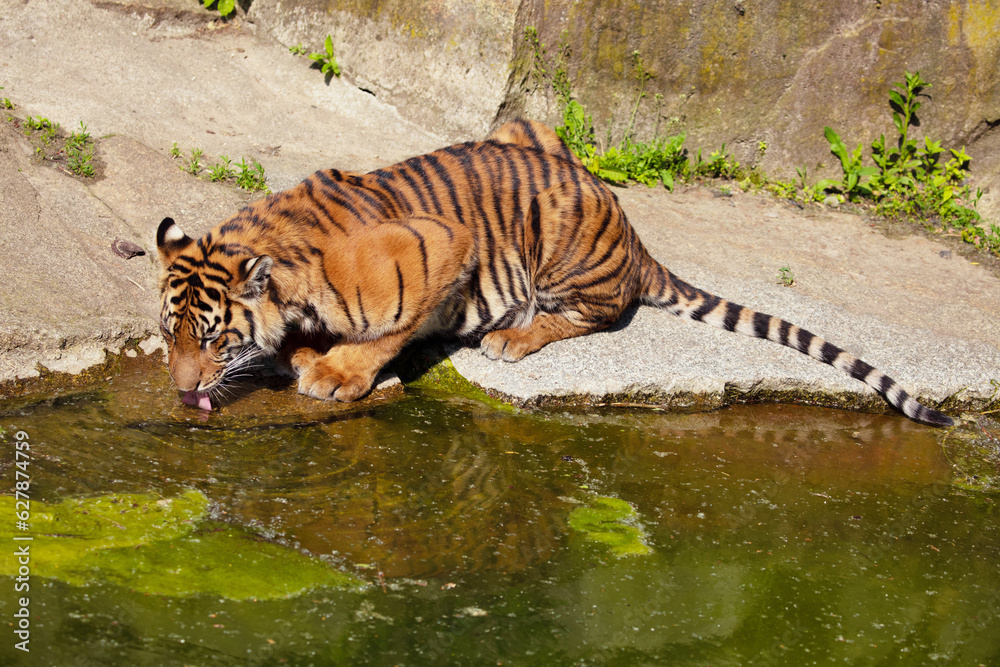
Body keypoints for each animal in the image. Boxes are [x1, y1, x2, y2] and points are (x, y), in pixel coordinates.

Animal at [155, 119, 953, 426]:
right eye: (170, 337)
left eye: (214, 338)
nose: (182, 390)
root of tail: (631, 228)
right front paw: (299, 351)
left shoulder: (440, 249)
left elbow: (388, 332)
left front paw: (334, 371)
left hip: (561, 241)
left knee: (597, 313)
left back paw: (512, 336)